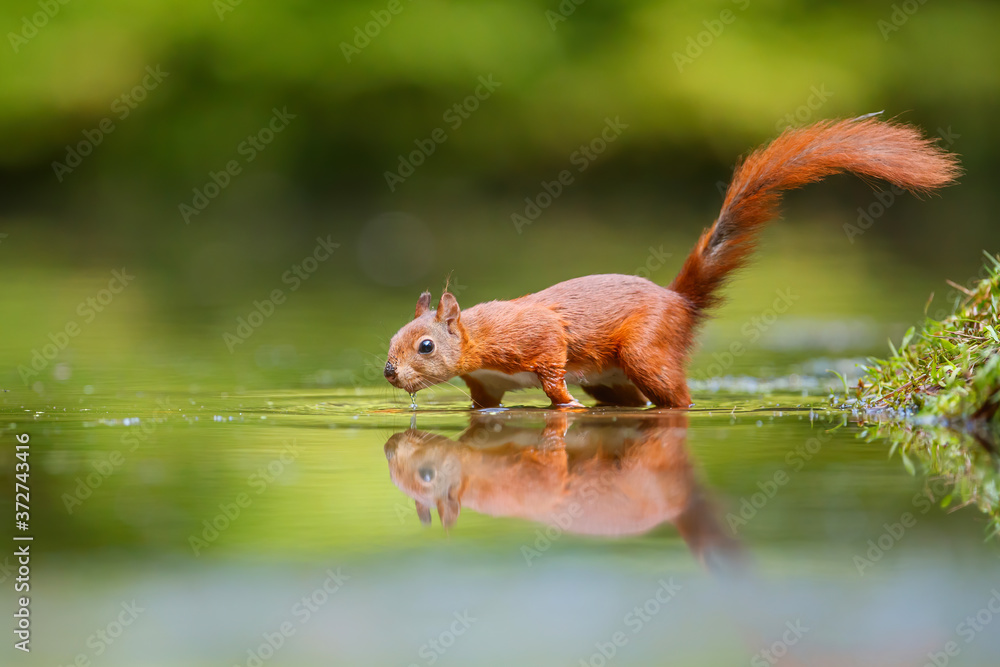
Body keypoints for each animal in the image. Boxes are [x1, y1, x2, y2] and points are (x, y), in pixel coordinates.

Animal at [383, 115, 960, 408]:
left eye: (426, 344)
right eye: (393, 337)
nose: (389, 371)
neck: (479, 340)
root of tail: (679, 301)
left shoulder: (536, 340)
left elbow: (552, 369)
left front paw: (563, 404)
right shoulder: (487, 387)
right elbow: (486, 408)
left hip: (645, 352)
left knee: (676, 397)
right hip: (612, 377)